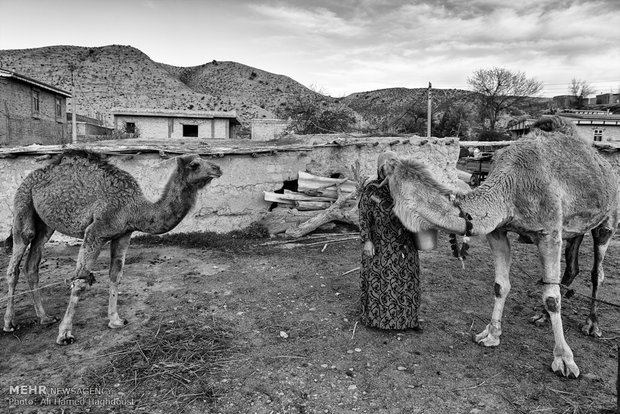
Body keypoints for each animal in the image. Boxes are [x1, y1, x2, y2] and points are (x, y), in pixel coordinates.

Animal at [3, 150, 223, 344]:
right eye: (194, 164)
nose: (218, 168)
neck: (134, 208)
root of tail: (33, 175)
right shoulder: (96, 231)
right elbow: (80, 282)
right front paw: (64, 334)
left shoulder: (123, 234)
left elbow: (115, 275)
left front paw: (116, 320)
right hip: (23, 205)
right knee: (15, 262)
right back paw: (9, 323)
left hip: (45, 225)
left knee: (32, 265)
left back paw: (45, 317)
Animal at [386, 117, 616, 378]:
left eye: (387, 171)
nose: (383, 160)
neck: (510, 186)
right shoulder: (497, 232)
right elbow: (500, 285)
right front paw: (490, 335)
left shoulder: (549, 232)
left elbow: (552, 296)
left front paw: (564, 360)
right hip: (575, 227)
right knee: (572, 266)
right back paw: (541, 316)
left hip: (608, 218)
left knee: (597, 272)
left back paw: (592, 325)